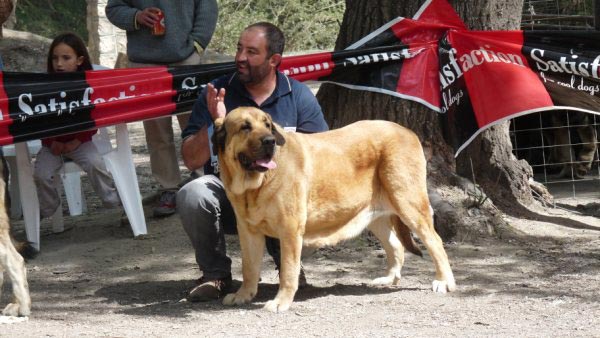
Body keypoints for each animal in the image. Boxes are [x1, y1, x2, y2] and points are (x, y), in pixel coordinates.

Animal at [211, 107, 454, 312]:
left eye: (267, 124)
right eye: (245, 127)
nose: (270, 141)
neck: (255, 186)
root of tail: (408, 131)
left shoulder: (289, 230)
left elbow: (288, 271)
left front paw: (281, 302)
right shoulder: (248, 232)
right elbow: (249, 269)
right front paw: (243, 295)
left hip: (409, 204)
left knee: (435, 241)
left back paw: (444, 282)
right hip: (375, 216)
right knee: (396, 245)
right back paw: (389, 279)